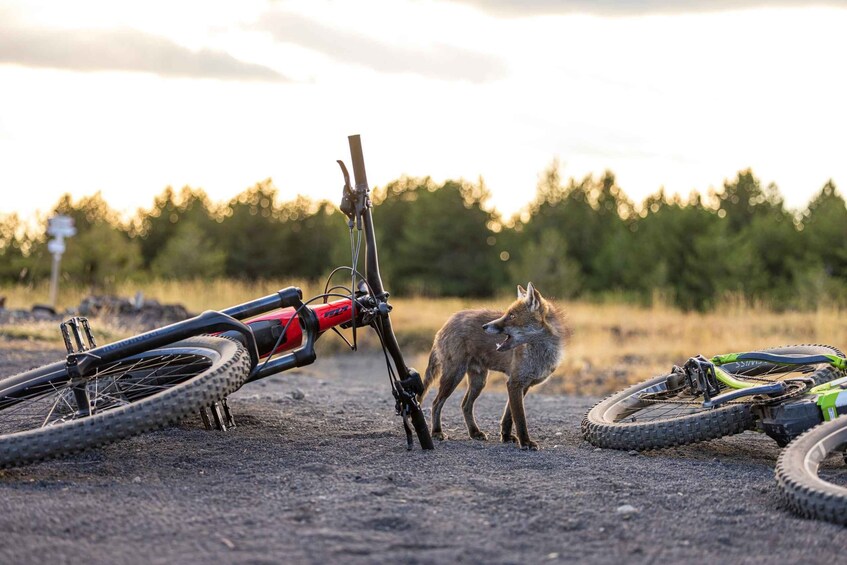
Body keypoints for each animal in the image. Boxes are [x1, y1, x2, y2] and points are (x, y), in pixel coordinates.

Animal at [420, 282, 568, 450]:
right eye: (506, 314)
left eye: (512, 316)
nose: (484, 326)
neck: (540, 354)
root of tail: (448, 322)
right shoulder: (514, 383)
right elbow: (520, 419)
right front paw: (525, 442)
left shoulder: (523, 385)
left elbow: (509, 416)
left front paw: (506, 436)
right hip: (453, 376)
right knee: (436, 403)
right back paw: (437, 431)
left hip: (479, 381)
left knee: (465, 405)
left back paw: (474, 432)